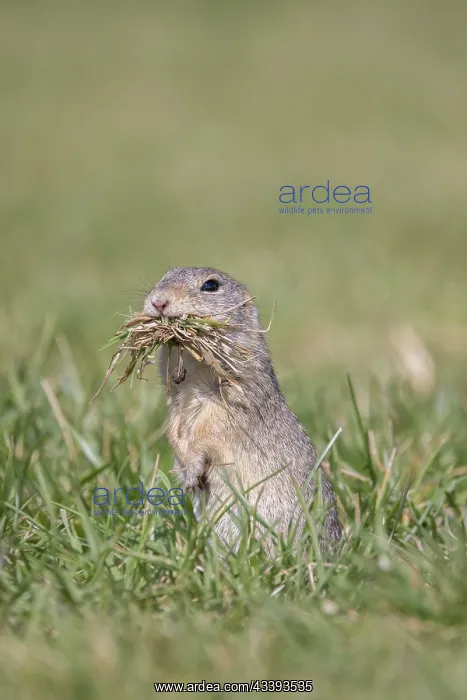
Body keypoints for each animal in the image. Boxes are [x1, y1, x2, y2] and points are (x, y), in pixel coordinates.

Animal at [143, 267, 341, 555]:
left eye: (211, 286)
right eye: (164, 276)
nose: (158, 301)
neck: (193, 367)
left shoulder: (234, 397)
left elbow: (210, 429)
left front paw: (192, 471)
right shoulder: (176, 401)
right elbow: (174, 428)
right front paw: (186, 474)